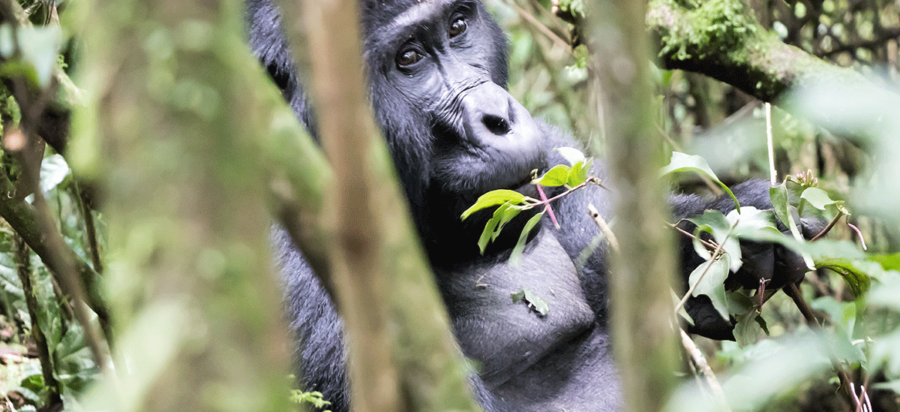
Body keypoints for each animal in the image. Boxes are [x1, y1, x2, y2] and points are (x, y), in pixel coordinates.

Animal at [246, 0, 816, 412]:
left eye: (458, 26)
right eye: (408, 58)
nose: (498, 115)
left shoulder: (555, 159)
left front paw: (738, 229)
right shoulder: (297, 269)